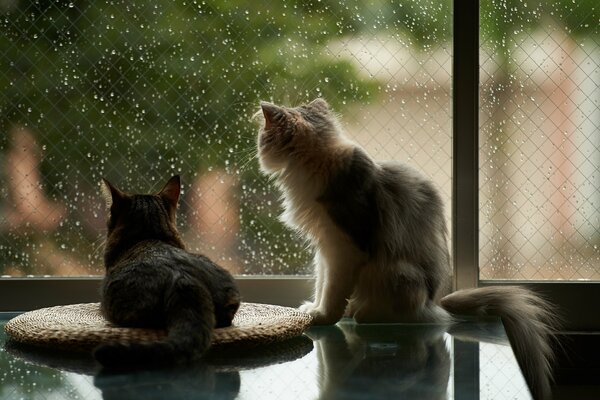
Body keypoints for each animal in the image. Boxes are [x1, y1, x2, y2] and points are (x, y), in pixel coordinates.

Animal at [256, 97, 556, 400]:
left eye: (262, 136)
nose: (256, 147)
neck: (315, 162)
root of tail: (436, 302)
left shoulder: (343, 246)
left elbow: (332, 291)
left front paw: (322, 317)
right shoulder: (324, 249)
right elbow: (321, 284)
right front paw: (313, 309)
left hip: (398, 274)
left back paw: (364, 314)